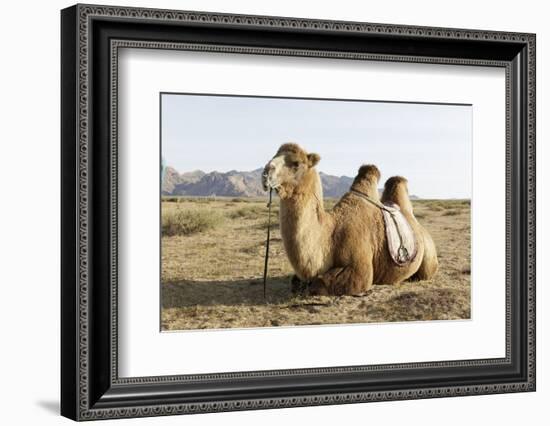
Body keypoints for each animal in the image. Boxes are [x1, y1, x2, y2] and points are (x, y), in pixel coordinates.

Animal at [264, 143, 440, 296]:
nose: (266, 173)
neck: (330, 235)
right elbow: (295, 282)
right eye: (273, 155)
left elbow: (320, 283)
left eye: (296, 163)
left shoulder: (359, 270)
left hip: (429, 258)